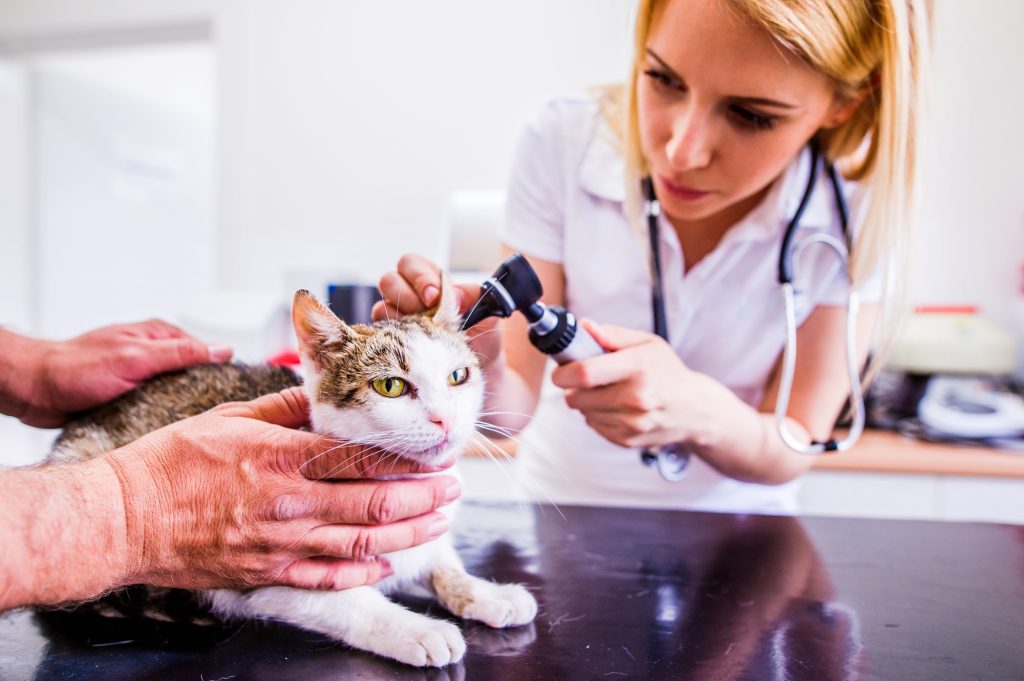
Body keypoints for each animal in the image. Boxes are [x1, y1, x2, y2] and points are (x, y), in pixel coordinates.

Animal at [49, 278, 536, 667]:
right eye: (390, 386)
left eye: (458, 376)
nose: (445, 420)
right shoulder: (260, 574)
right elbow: (348, 600)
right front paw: (415, 629)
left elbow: (437, 557)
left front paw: (481, 591)